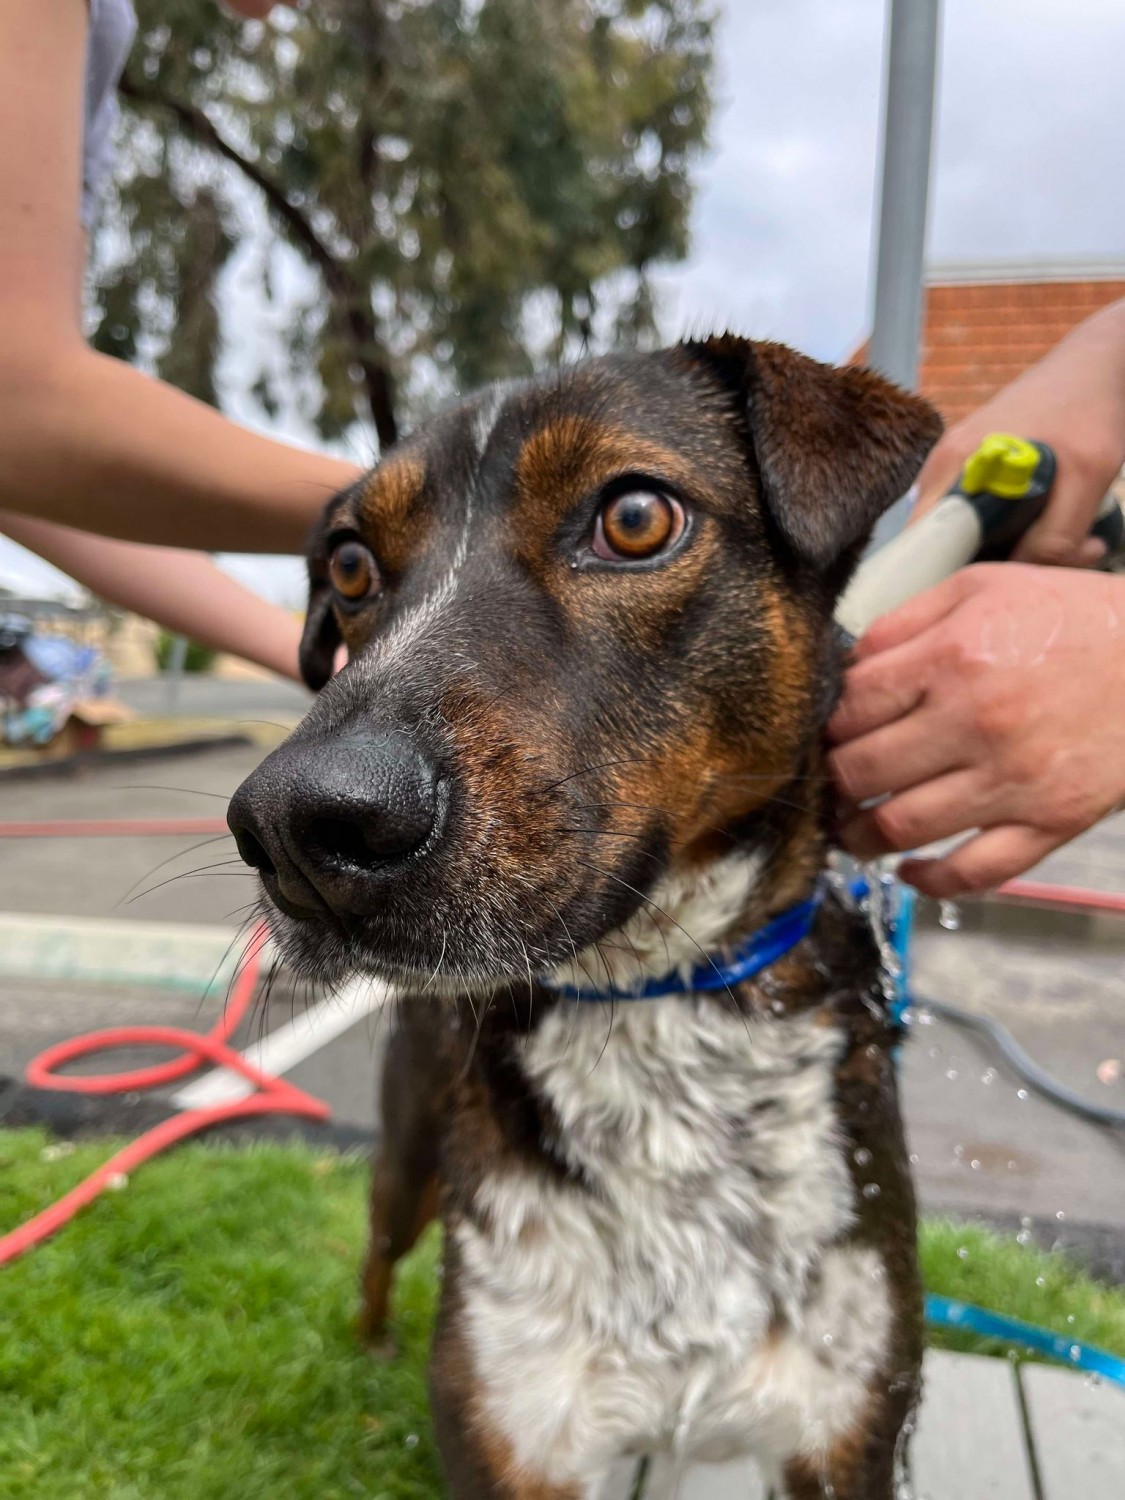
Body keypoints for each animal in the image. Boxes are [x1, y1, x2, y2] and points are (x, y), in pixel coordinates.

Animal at [226, 340, 942, 1500]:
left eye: (636, 518)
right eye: (350, 569)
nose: (294, 828)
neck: (651, 999)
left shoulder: (847, 1433)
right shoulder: (512, 1431)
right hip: (410, 1162)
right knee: (379, 1251)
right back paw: (369, 1349)